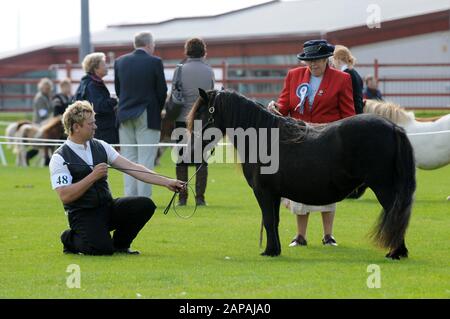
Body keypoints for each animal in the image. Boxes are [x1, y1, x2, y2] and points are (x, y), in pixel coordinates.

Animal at [186, 89, 414, 260]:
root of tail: (393, 127)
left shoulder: (263, 192)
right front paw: (275, 249)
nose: (191, 153)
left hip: (383, 186)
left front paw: (269, 251)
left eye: (200, 115)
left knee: (396, 213)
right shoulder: (274, 194)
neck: (264, 139)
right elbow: (274, 221)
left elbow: (268, 220)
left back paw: (396, 252)